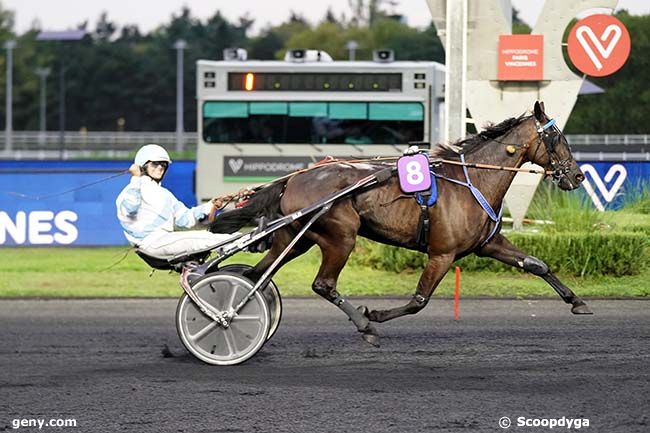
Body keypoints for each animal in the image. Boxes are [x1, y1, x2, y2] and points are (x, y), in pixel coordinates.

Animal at [210, 100, 588, 344]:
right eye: (557, 138)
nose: (578, 176)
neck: (471, 181)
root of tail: (295, 178)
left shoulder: (488, 244)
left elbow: (536, 264)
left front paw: (576, 302)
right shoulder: (442, 253)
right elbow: (419, 300)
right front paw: (375, 316)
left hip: (297, 237)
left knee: (256, 274)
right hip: (340, 236)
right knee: (323, 284)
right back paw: (364, 327)